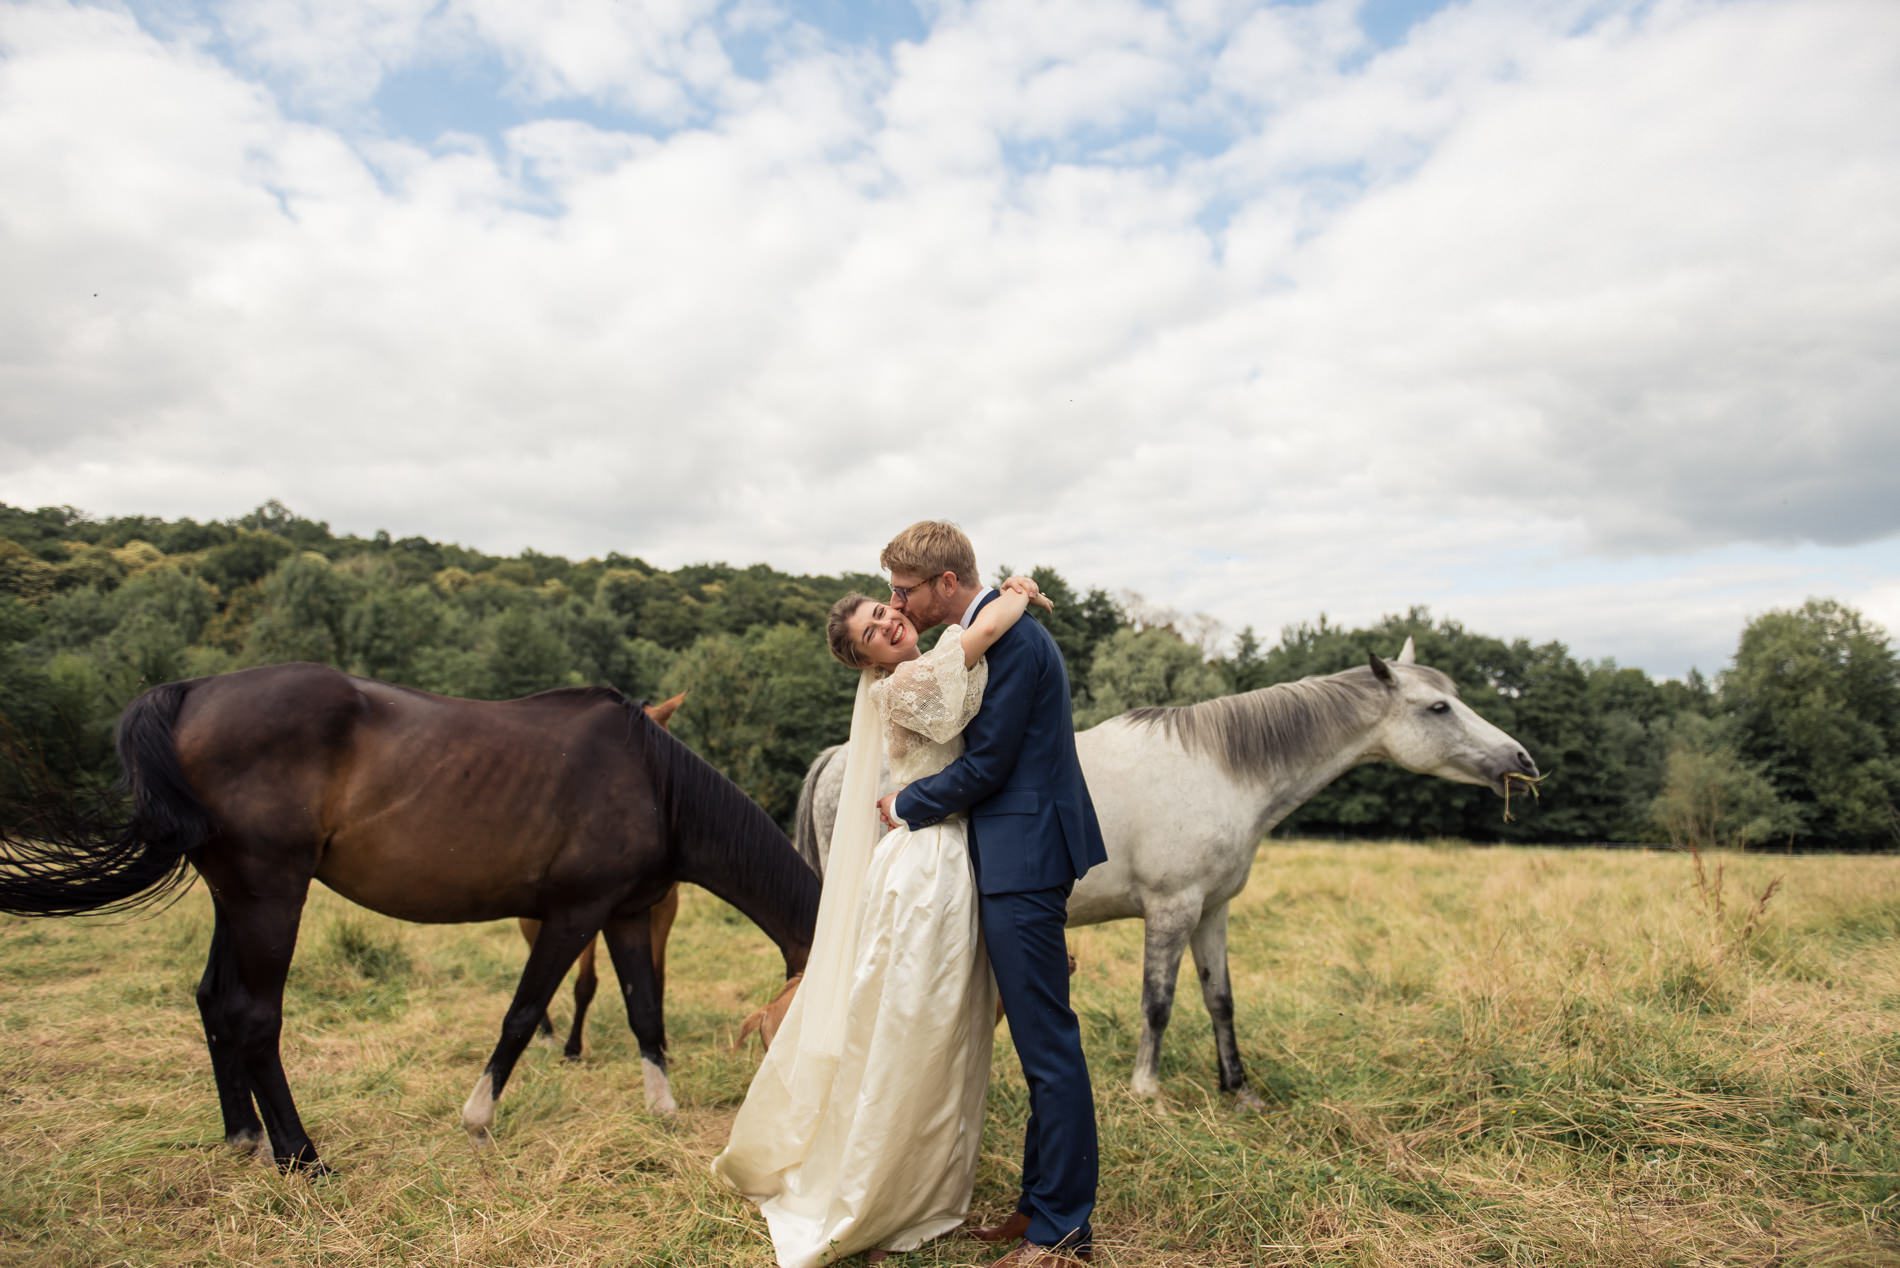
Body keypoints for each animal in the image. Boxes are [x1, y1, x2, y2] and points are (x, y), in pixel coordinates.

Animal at [524, 688, 687, 1056]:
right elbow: (585, 982)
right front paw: (573, 1046)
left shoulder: (664, 910)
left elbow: (657, 978)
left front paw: (661, 1043)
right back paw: (547, 1032)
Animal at [794, 638, 1535, 1102]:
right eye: (1438, 707)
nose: (1520, 758)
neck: (1221, 770)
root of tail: (838, 758)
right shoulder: (1172, 910)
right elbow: (1158, 1001)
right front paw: (1147, 1088)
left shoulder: (1212, 911)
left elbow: (1220, 999)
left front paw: (1238, 1088)